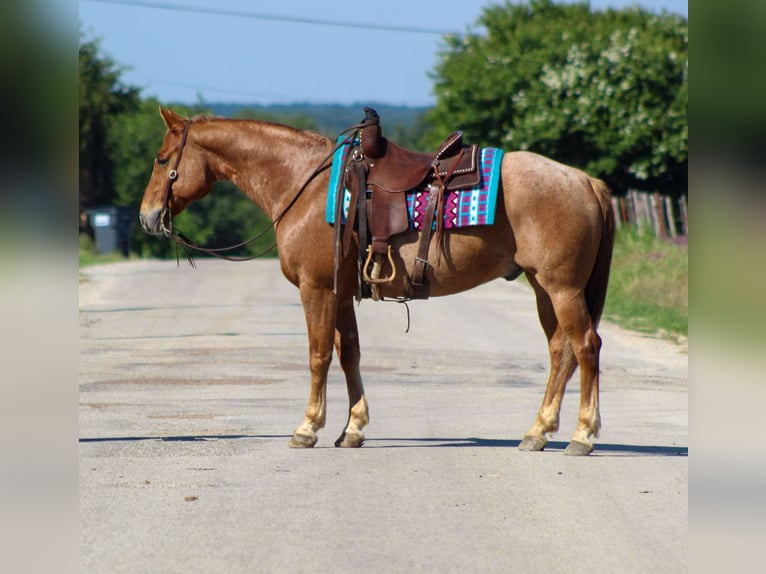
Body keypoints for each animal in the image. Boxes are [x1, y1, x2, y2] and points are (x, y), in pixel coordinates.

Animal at [139, 106, 614, 456]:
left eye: (162, 160)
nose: (147, 216)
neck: (305, 185)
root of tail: (586, 181)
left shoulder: (317, 289)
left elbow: (318, 356)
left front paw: (308, 427)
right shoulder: (341, 293)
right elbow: (349, 353)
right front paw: (352, 428)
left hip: (561, 288)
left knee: (585, 346)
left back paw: (582, 435)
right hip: (543, 288)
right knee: (560, 351)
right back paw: (537, 432)